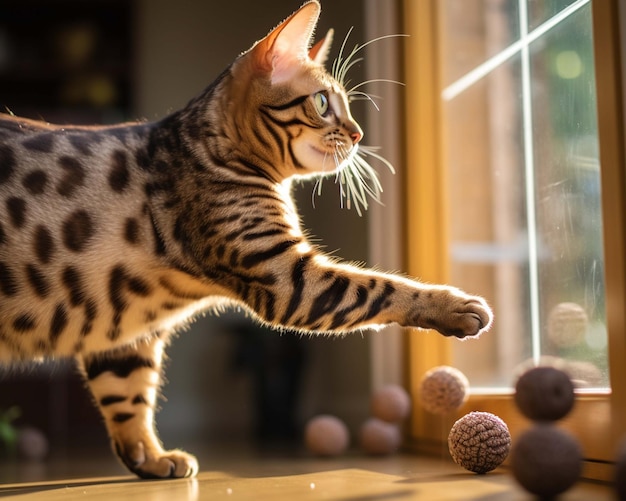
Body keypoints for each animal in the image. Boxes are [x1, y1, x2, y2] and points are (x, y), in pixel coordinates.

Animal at [0, 0, 490, 476]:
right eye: (322, 102)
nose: (358, 134)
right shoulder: (288, 278)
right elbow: (382, 286)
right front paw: (455, 306)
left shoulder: (128, 329)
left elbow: (127, 394)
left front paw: (150, 458)